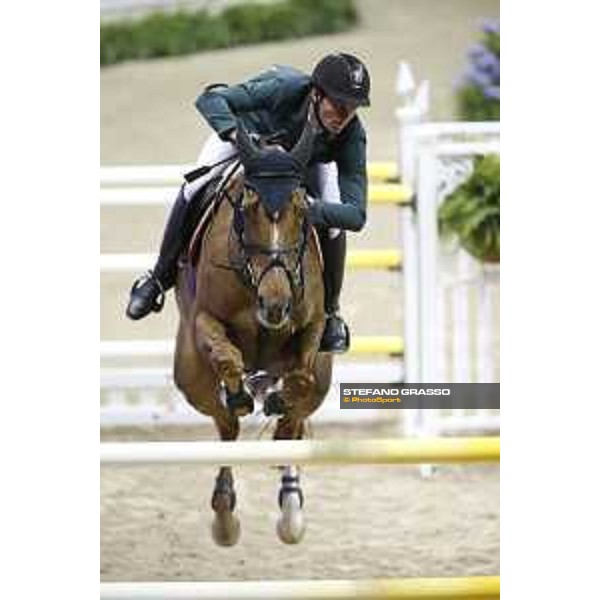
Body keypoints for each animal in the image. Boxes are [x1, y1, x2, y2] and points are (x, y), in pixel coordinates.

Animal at [172, 120, 332, 544]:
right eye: (246, 208)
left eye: (301, 209)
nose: (275, 305)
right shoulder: (205, 319)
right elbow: (228, 360)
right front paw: (239, 396)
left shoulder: (313, 326)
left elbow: (299, 382)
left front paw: (278, 402)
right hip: (191, 377)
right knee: (227, 427)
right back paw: (224, 516)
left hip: (324, 376)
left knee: (296, 416)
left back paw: (291, 512)